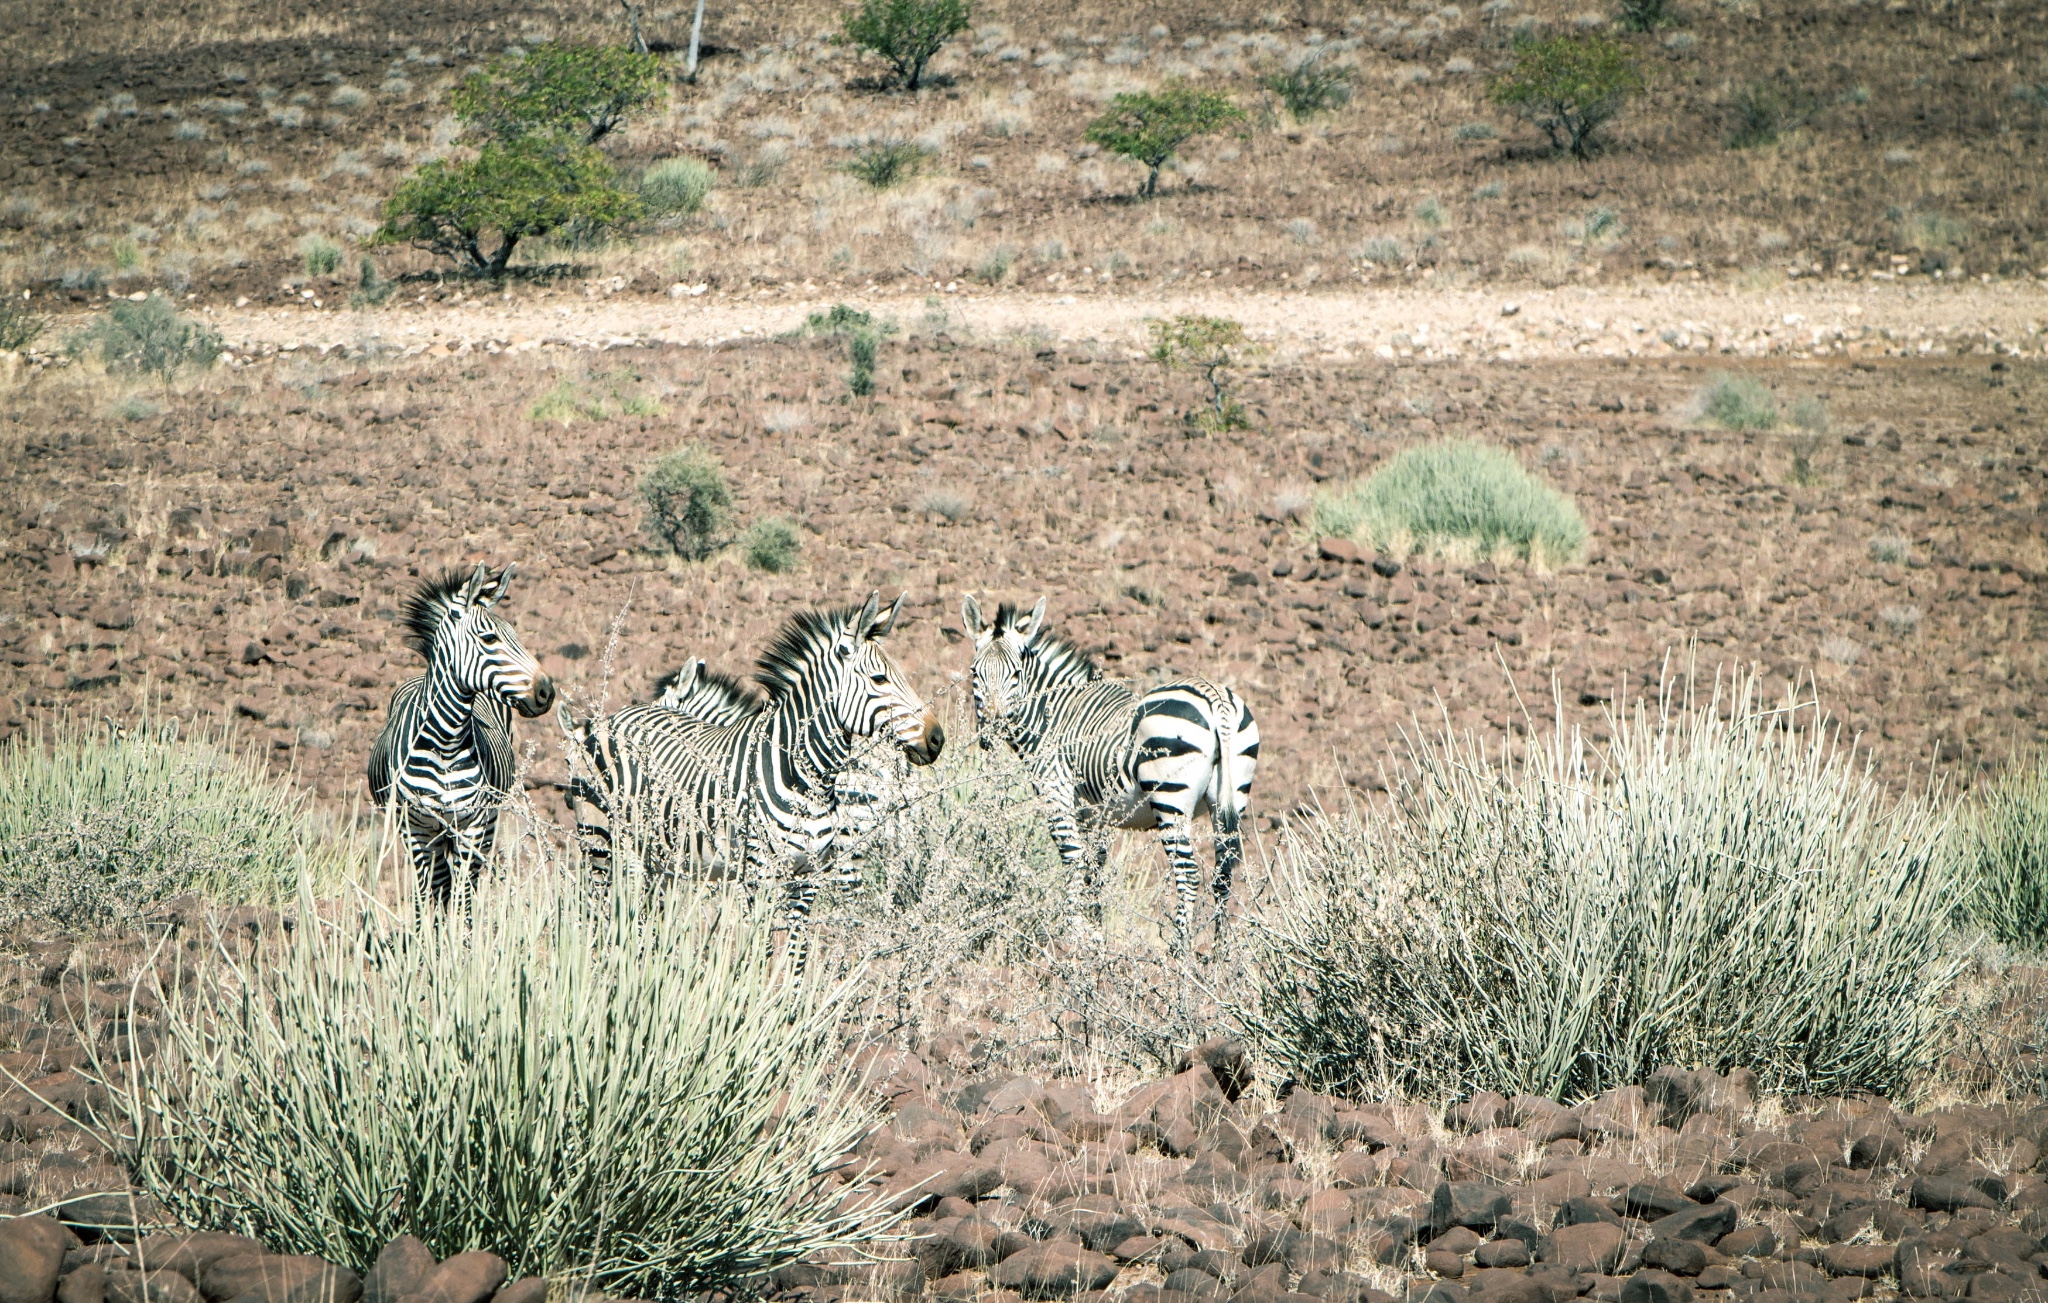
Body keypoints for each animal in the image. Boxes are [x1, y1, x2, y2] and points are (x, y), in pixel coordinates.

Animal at [368, 565, 557, 909]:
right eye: (489, 638)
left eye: (516, 636)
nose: (546, 693)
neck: (445, 741)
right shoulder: (417, 829)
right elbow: (430, 890)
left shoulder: (472, 825)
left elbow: (463, 896)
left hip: (487, 821)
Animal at [565, 594, 937, 962]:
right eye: (880, 679)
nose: (937, 738)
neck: (807, 777)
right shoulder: (758, 873)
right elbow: (760, 948)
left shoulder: (807, 876)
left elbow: (796, 955)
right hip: (603, 844)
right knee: (602, 914)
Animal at [962, 594, 1261, 950]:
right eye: (975, 673)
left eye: (1016, 674)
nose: (990, 732)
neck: (1051, 715)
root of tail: (1213, 695)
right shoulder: (1095, 812)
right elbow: (1094, 870)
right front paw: (1095, 934)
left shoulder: (1057, 795)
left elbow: (1073, 862)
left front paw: (1075, 936)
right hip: (1231, 796)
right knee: (1224, 873)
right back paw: (1219, 952)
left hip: (1171, 799)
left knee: (1187, 873)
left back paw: (1179, 951)